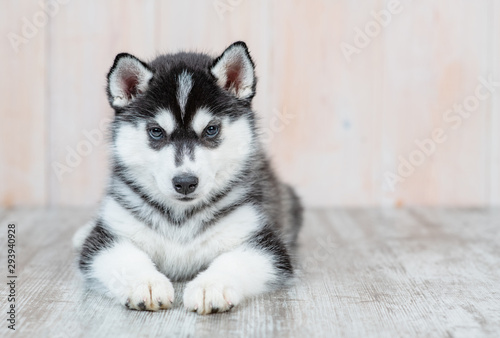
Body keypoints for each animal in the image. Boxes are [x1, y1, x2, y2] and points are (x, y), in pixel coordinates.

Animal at [72, 41, 302, 314]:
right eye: (156, 132)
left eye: (211, 130)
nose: (185, 183)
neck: (180, 218)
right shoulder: (106, 239)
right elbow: (126, 258)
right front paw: (146, 283)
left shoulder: (263, 242)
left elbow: (234, 260)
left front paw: (211, 286)